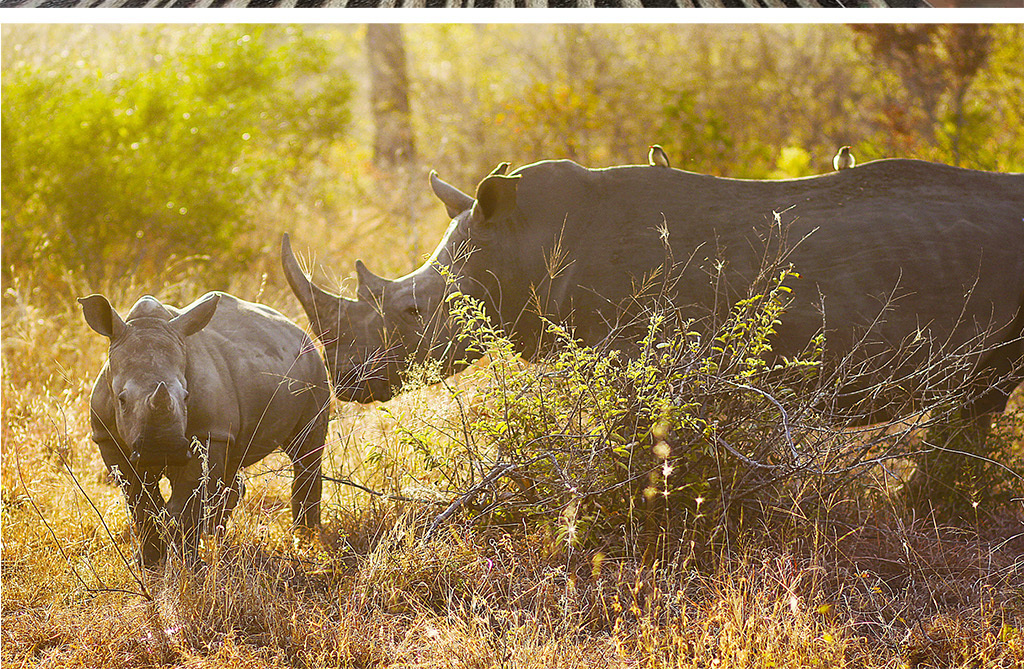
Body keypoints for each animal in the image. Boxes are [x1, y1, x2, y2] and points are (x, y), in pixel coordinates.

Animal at [79, 288, 327, 565]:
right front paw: (147, 561)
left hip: (315, 368)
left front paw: (187, 564)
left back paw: (305, 537)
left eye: (186, 396)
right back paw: (216, 535)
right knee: (233, 461)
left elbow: (186, 504)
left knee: (305, 451)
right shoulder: (106, 437)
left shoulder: (209, 433)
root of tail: (297, 329)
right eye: (121, 399)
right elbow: (140, 502)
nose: (162, 448)